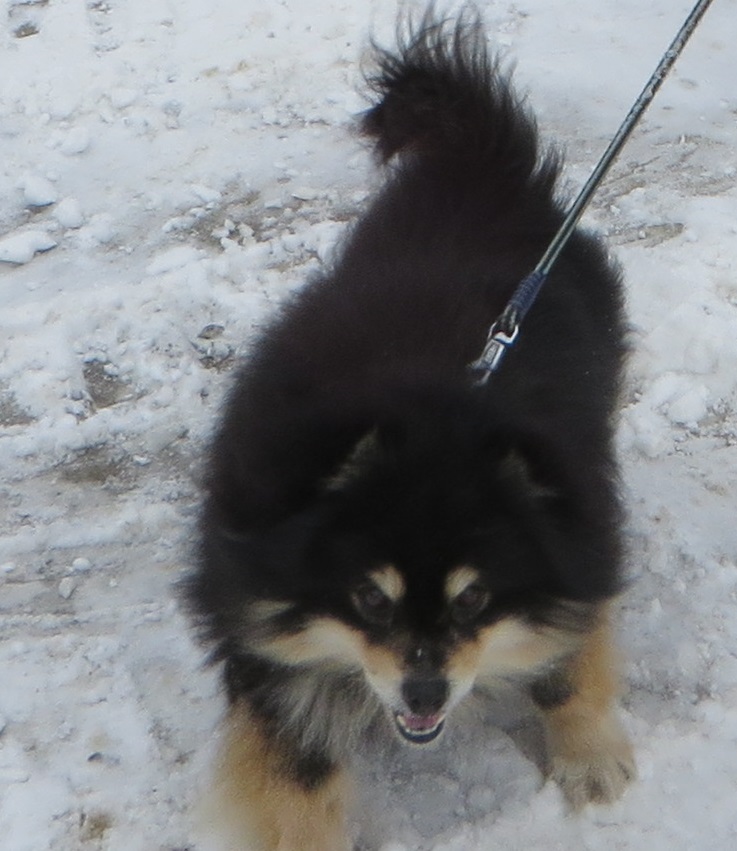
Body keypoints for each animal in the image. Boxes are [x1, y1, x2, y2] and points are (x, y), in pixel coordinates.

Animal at [185, 10, 635, 850]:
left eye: (473, 598)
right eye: (368, 598)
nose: (425, 691)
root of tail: (478, 165)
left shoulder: (574, 524)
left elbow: (566, 660)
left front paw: (591, 761)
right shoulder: (256, 619)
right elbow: (296, 774)